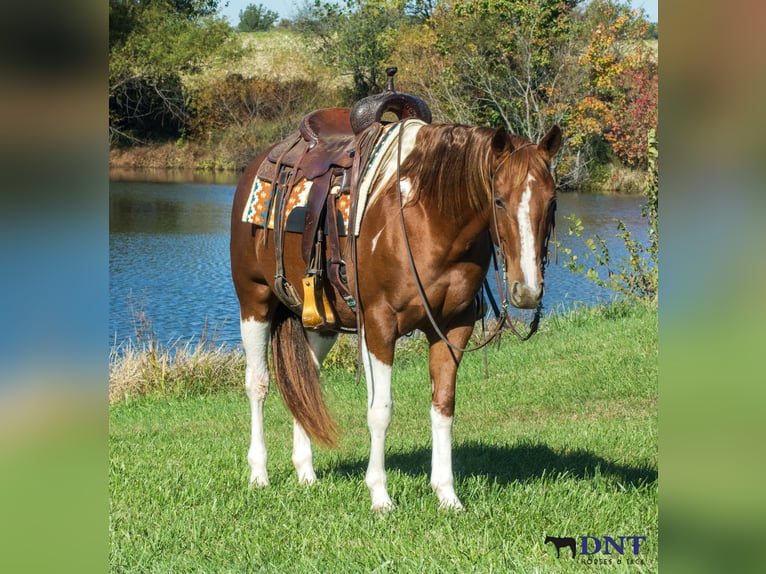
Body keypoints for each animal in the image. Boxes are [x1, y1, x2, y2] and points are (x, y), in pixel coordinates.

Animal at [230, 113, 561, 511]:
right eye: (498, 200)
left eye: (552, 201)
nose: (527, 291)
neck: (429, 219)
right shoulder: (379, 325)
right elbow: (380, 411)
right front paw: (380, 496)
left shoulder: (454, 327)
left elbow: (443, 407)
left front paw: (447, 494)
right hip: (255, 301)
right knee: (258, 384)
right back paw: (259, 474)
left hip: (319, 322)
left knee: (304, 380)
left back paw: (306, 473)